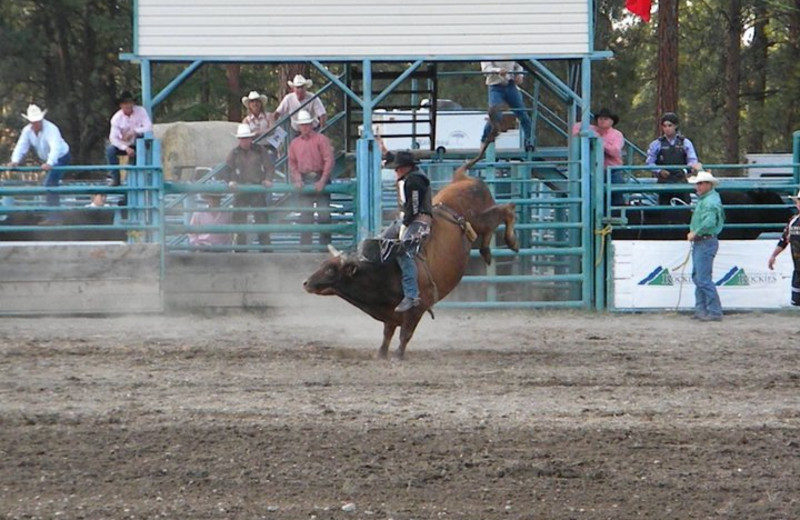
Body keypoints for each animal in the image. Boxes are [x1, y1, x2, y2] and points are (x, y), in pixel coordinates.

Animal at [300, 164, 520, 362]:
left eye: (331, 270)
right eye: (322, 265)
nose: (306, 283)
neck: (384, 272)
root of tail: (462, 178)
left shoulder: (417, 308)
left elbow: (405, 333)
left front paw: (398, 355)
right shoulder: (390, 314)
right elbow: (387, 334)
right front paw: (381, 353)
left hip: (480, 218)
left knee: (506, 209)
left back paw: (511, 242)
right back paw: (487, 251)